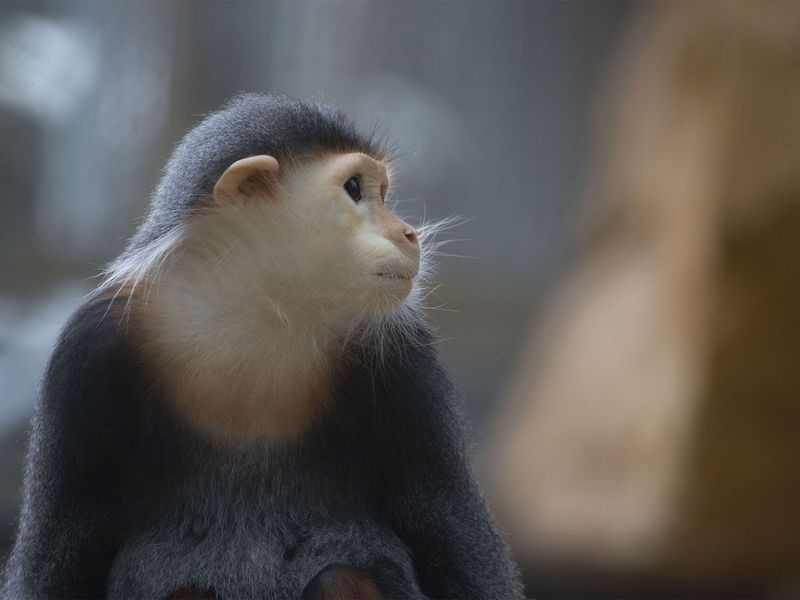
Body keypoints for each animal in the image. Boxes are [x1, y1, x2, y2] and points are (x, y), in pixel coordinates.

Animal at [1, 94, 524, 600]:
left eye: (382, 193)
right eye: (355, 189)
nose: (408, 233)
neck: (255, 317)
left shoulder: (405, 355)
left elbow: (460, 554)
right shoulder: (87, 350)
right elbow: (58, 563)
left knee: (340, 577)